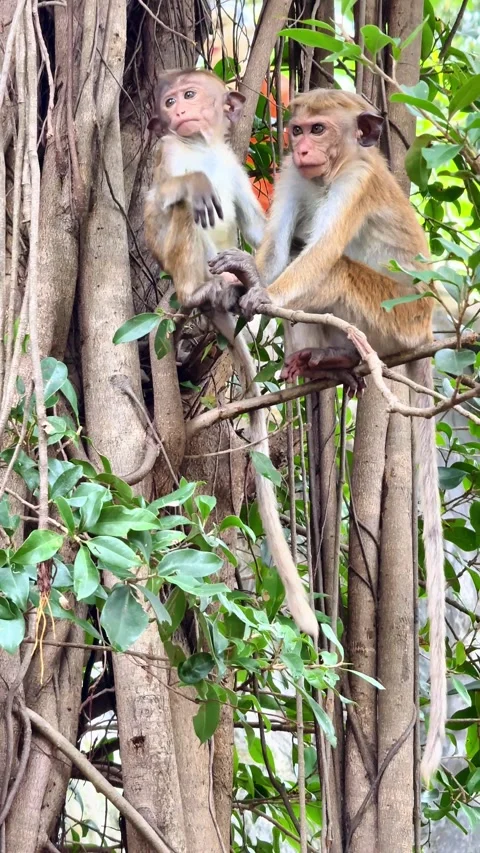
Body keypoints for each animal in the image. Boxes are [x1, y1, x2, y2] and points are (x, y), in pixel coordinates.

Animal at [144, 69, 319, 640]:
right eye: (170, 100)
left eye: (189, 95)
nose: (177, 110)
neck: (200, 146)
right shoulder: (168, 152)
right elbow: (156, 208)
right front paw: (193, 186)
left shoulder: (238, 172)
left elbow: (264, 234)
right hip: (181, 269)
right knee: (178, 218)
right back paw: (203, 291)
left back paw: (240, 284)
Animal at [209, 88, 446, 782]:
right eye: (298, 131)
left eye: (320, 128)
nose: (303, 146)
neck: (331, 170)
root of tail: (426, 330)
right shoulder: (293, 178)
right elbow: (277, 247)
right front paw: (241, 274)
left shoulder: (361, 179)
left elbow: (314, 258)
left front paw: (256, 294)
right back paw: (327, 364)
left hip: (395, 315)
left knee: (333, 270)